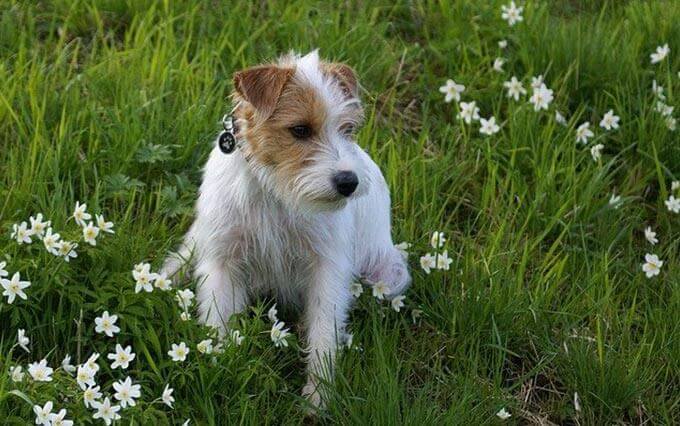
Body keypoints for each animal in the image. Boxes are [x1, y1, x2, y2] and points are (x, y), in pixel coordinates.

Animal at [162, 51, 412, 408]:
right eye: (300, 130)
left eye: (347, 129)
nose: (348, 182)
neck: (275, 191)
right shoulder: (222, 262)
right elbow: (218, 321)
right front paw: (220, 367)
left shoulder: (327, 269)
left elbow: (323, 331)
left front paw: (318, 396)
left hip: (390, 275)